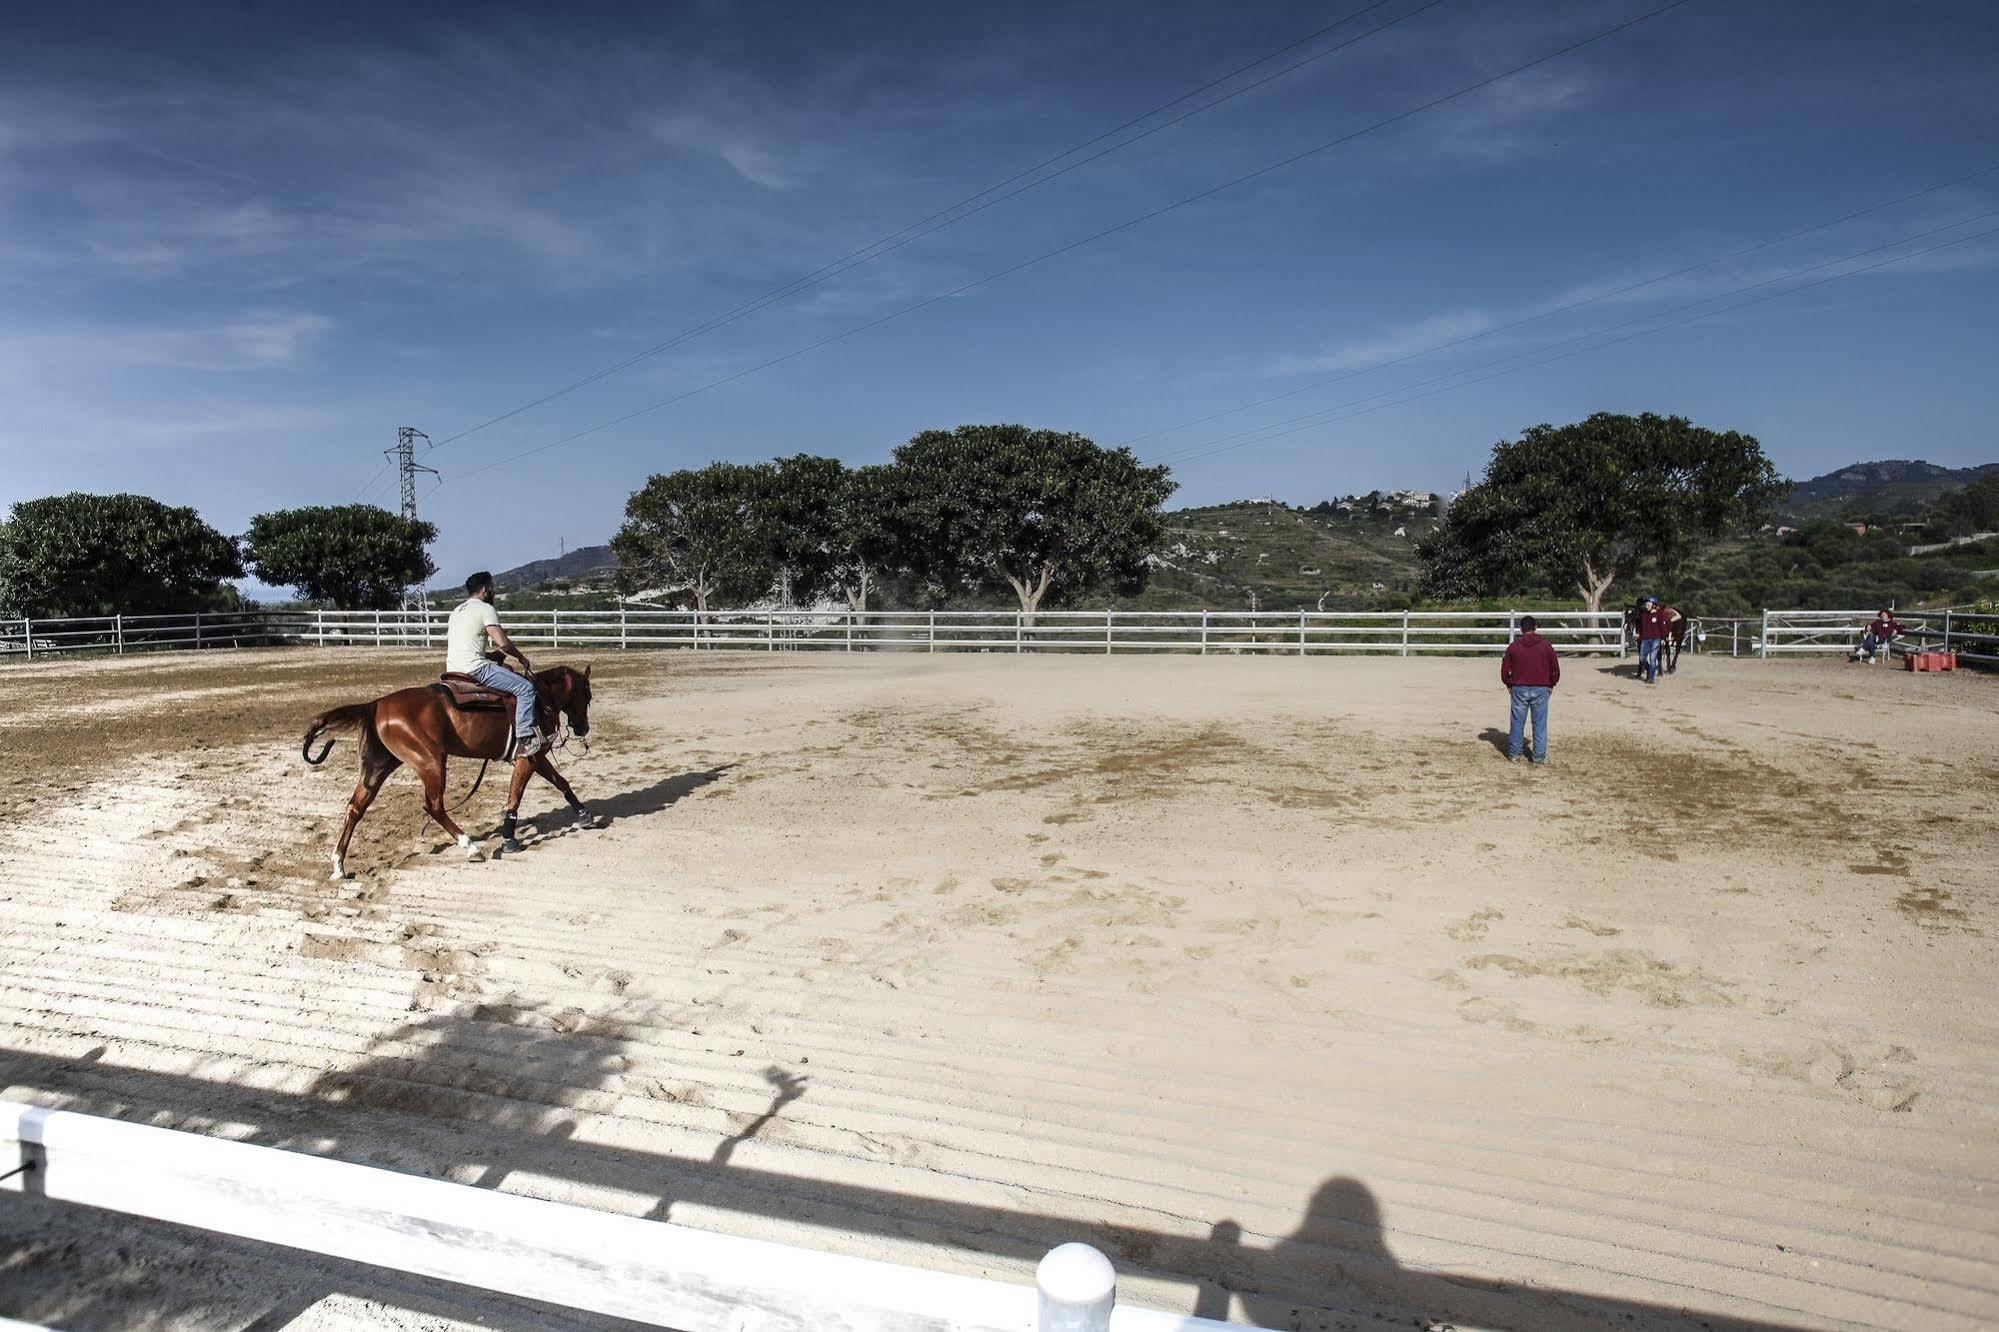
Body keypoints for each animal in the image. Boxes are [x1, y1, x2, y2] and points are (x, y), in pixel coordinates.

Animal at [293, 660, 591, 876]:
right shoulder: (528, 758)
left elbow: (561, 782)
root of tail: (376, 704)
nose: (583, 728)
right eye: (587, 696)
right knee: (433, 805)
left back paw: (338, 865)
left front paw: (584, 814)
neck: (542, 698)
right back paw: (471, 848)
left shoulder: (537, 757)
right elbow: (515, 798)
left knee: (355, 808)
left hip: (379, 766)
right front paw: (509, 839)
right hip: (431, 761)